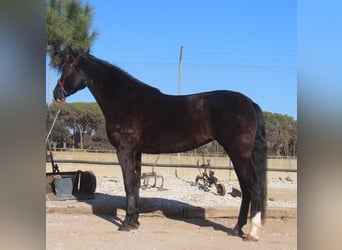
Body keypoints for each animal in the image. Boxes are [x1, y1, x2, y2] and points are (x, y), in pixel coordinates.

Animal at [52, 51, 268, 241]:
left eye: (65, 68)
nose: (55, 93)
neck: (125, 99)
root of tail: (249, 102)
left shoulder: (124, 151)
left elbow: (128, 184)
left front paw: (126, 224)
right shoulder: (136, 152)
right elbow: (136, 184)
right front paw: (134, 221)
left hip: (239, 154)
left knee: (254, 186)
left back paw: (252, 233)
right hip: (238, 155)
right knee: (246, 189)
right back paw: (237, 229)